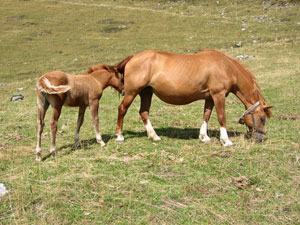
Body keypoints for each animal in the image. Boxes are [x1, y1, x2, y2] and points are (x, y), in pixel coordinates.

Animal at [114, 49, 272, 146]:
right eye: (262, 118)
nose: (261, 138)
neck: (226, 67)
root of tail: (133, 58)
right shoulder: (218, 95)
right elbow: (221, 117)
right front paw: (226, 141)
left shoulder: (210, 97)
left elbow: (206, 115)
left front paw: (204, 137)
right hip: (132, 92)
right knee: (122, 109)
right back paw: (120, 136)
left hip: (146, 92)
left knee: (144, 112)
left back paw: (154, 136)